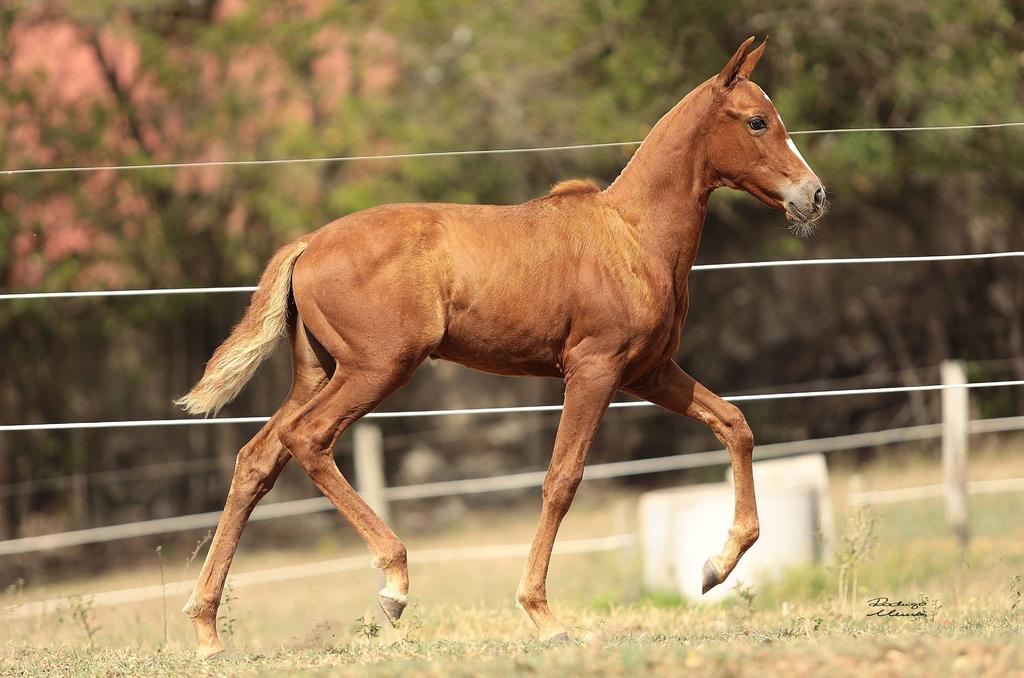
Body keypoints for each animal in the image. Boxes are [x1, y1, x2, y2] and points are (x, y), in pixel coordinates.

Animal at [178, 38, 823, 659]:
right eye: (757, 121)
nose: (814, 196)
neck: (633, 236)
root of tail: (309, 244)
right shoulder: (595, 368)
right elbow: (562, 478)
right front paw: (543, 616)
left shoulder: (650, 372)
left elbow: (734, 423)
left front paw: (716, 566)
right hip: (377, 369)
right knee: (307, 438)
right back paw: (394, 584)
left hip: (319, 371)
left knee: (257, 459)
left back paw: (208, 630)